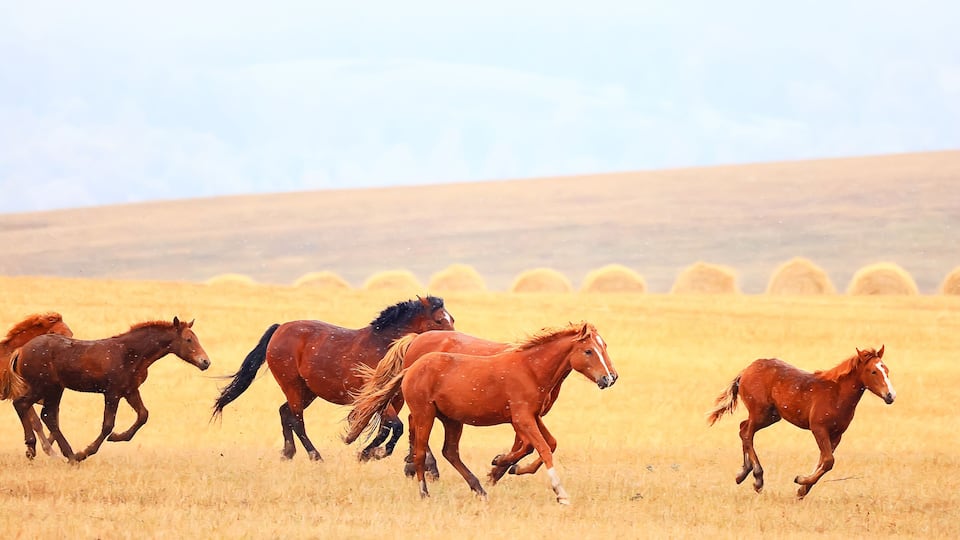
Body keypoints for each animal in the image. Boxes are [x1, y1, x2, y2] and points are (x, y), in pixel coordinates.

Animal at [0, 312, 74, 456]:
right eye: (54, 333)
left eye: (71, 334)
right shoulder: (22, 393)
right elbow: (36, 422)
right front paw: (43, 450)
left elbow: (53, 416)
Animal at [9, 317, 210, 461]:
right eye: (188, 340)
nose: (205, 362)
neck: (130, 353)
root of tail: (20, 351)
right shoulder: (112, 393)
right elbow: (107, 425)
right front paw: (85, 452)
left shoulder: (130, 391)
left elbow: (143, 415)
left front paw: (118, 437)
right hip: (43, 387)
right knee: (21, 404)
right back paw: (40, 448)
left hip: (55, 389)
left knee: (48, 416)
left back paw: (66, 454)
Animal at [211, 296, 455, 462]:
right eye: (438, 320)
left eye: (451, 318)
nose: (453, 340)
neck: (385, 346)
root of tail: (280, 328)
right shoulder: (374, 397)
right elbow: (394, 426)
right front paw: (372, 451)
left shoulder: (394, 399)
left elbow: (388, 428)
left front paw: (368, 452)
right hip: (291, 385)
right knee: (296, 419)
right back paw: (315, 456)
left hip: (307, 391)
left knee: (284, 412)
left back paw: (288, 453)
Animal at [345, 329, 568, 483]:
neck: (531, 366)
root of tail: (416, 338)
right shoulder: (519, 416)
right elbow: (528, 446)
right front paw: (497, 468)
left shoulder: (527, 416)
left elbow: (546, 445)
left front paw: (500, 469)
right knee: (414, 423)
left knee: (413, 423)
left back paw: (413, 464)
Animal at [707, 346, 896, 499]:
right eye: (873, 371)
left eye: (886, 370)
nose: (890, 395)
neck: (837, 394)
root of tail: (746, 370)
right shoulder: (818, 428)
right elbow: (828, 460)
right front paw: (800, 481)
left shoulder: (837, 434)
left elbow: (823, 461)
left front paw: (802, 489)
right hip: (760, 412)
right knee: (746, 433)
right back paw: (758, 478)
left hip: (771, 416)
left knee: (743, 428)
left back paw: (743, 472)